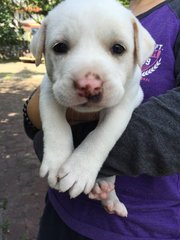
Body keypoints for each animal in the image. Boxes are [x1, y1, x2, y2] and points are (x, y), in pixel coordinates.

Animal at [30, 0, 155, 218]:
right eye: (60, 47)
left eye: (118, 48)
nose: (89, 85)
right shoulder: (49, 90)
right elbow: (55, 125)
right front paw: (57, 161)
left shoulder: (125, 102)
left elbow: (101, 135)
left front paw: (79, 169)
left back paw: (107, 195)